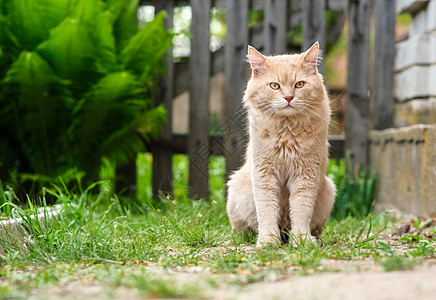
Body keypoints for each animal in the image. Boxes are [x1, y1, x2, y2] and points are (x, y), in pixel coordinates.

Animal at [227, 42, 336, 248]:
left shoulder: (305, 175)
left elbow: (301, 211)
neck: (287, 132)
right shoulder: (264, 174)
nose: (288, 98)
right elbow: (267, 210)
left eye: (299, 84)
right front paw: (269, 240)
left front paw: (301, 239)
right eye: (274, 86)